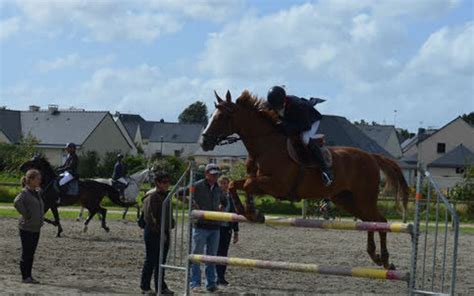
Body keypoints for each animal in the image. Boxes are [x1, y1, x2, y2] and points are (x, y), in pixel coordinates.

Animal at [202, 90, 410, 270]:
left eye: (221, 117)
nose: (204, 142)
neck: (266, 146)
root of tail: (371, 156)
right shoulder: (260, 181)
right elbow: (235, 184)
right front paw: (249, 212)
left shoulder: (276, 185)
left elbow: (246, 185)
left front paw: (251, 212)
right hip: (347, 199)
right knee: (370, 221)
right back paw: (375, 256)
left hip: (364, 198)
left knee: (380, 221)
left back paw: (385, 260)